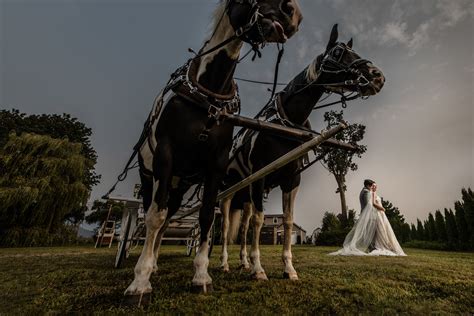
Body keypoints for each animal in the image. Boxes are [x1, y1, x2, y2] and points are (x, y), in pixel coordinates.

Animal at [126, 0, 302, 302]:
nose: (292, 12)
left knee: (168, 215)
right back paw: (149, 265)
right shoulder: (165, 156)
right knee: (153, 211)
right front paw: (140, 280)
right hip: (150, 175)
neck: (208, 94)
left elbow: (207, 216)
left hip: (180, 184)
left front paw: (200, 275)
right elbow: (155, 216)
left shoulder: (216, 164)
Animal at [218, 25, 386, 282]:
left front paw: (288, 267)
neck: (285, 124)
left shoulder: (292, 179)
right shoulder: (260, 177)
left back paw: (243, 262)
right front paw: (259, 268)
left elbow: (287, 221)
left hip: (245, 194)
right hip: (229, 190)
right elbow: (259, 220)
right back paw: (225, 262)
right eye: (337, 52)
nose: (377, 76)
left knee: (243, 226)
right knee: (227, 226)